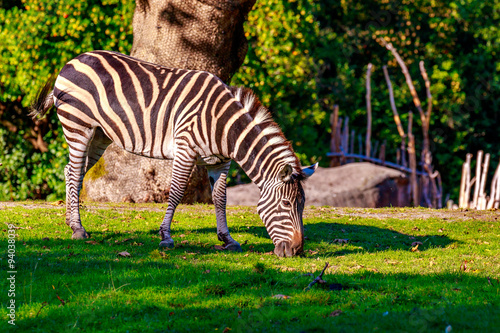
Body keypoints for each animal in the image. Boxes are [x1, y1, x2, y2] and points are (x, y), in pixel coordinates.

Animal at [31, 50, 316, 256]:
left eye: (303, 205)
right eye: (286, 204)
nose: (297, 251)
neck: (225, 127)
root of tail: (73, 60)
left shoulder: (220, 162)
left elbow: (220, 198)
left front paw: (227, 239)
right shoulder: (185, 148)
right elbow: (177, 192)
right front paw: (166, 236)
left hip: (100, 135)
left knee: (72, 172)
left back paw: (71, 222)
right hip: (78, 126)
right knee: (74, 172)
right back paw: (78, 229)